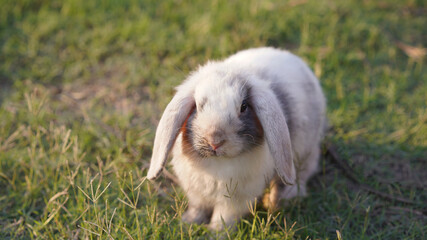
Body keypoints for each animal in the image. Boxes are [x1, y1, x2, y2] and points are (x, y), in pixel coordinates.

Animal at [147, 47, 328, 231]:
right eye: (198, 106)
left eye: (243, 107)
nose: (215, 141)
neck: (217, 164)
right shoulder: (197, 194)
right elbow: (198, 208)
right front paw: (187, 223)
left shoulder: (234, 201)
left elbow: (223, 217)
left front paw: (216, 233)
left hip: (304, 153)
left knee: (302, 174)